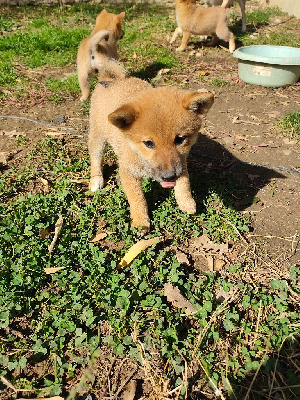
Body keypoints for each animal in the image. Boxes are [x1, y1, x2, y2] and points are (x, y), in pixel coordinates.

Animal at [88, 77, 214, 233]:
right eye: (149, 143)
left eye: (180, 139)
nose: (169, 177)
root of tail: (111, 79)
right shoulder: (128, 172)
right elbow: (137, 199)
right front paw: (141, 221)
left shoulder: (180, 161)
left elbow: (184, 182)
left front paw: (186, 201)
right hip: (98, 138)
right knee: (95, 158)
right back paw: (96, 180)